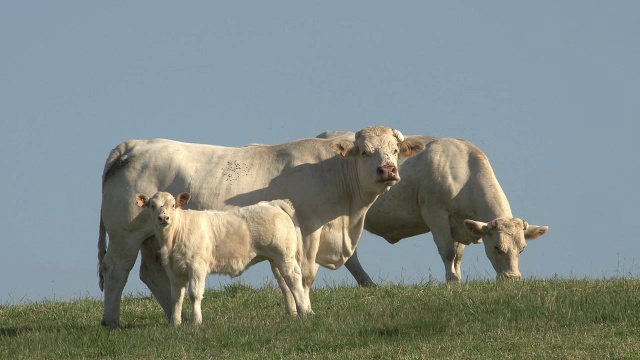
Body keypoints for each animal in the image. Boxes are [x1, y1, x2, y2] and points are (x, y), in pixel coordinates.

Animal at [136, 191, 310, 326]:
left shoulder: (197, 266)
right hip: (275, 259)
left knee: (294, 277)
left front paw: (196, 321)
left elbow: (194, 294)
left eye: (173, 205)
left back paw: (304, 311)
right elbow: (176, 297)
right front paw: (175, 323)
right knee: (284, 282)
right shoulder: (174, 270)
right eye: (152, 206)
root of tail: (272, 203)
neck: (172, 239)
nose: (163, 218)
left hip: (284, 255)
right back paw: (292, 312)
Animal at [318, 131, 548, 286]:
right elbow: (447, 251)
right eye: (497, 248)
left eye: (522, 248)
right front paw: (452, 281)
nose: (513, 279)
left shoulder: (459, 222)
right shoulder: (435, 213)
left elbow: (458, 254)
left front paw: (457, 278)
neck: (463, 171)